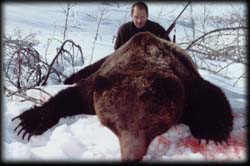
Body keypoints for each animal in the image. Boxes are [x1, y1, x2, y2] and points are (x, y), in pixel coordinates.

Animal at [12, 31, 233, 161]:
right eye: (115, 124)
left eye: (150, 124)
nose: (131, 157)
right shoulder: (97, 84)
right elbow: (70, 96)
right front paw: (29, 122)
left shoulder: (187, 85)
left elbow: (211, 96)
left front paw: (211, 132)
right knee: (80, 73)